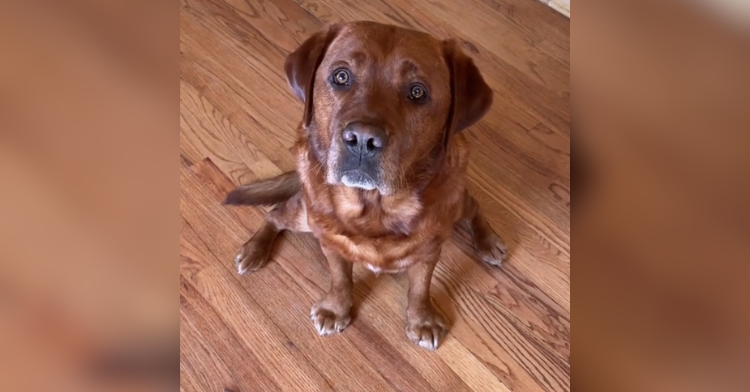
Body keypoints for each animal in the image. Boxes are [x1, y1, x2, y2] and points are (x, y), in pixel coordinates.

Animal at [223, 20, 506, 350]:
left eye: (417, 92)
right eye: (341, 76)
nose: (362, 140)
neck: (374, 208)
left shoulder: (429, 250)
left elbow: (420, 288)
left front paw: (422, 319)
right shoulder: (331, 242)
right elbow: (340, 279)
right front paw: (336, 308)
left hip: (456, 204)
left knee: (473, 205)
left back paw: (488, 240)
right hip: (305, 216)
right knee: (275, 213)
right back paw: (254, 249)